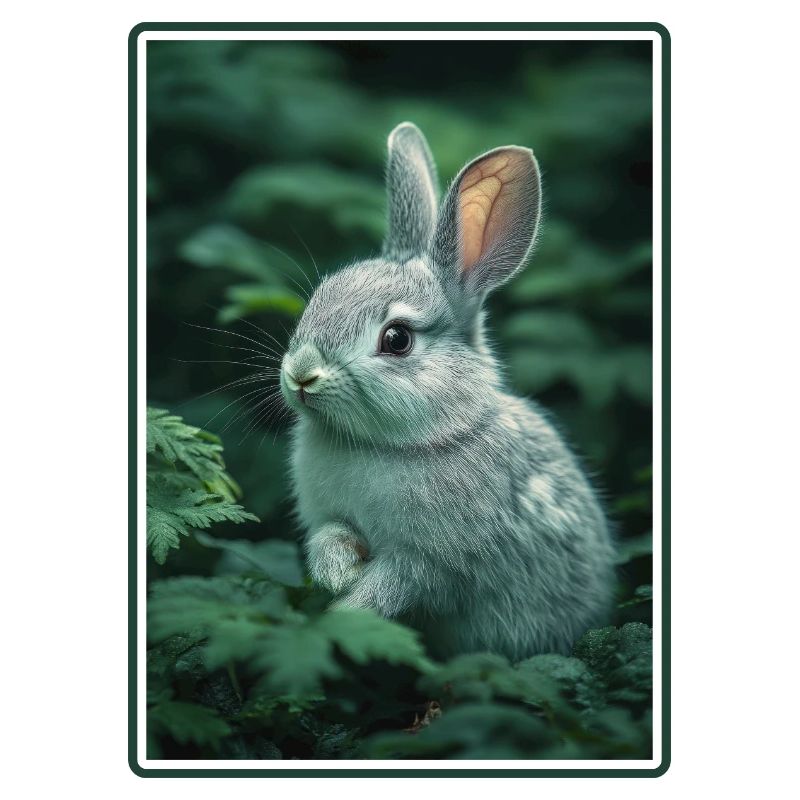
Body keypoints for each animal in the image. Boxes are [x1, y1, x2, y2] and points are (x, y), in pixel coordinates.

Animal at [279, 122, 615, 661]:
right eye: (320, 297)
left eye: (397, 339)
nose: (301, 374)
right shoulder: (329, 518)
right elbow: (329, 537)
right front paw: (340, 572)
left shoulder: (430, 563)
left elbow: (392, 586)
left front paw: (344, 614)